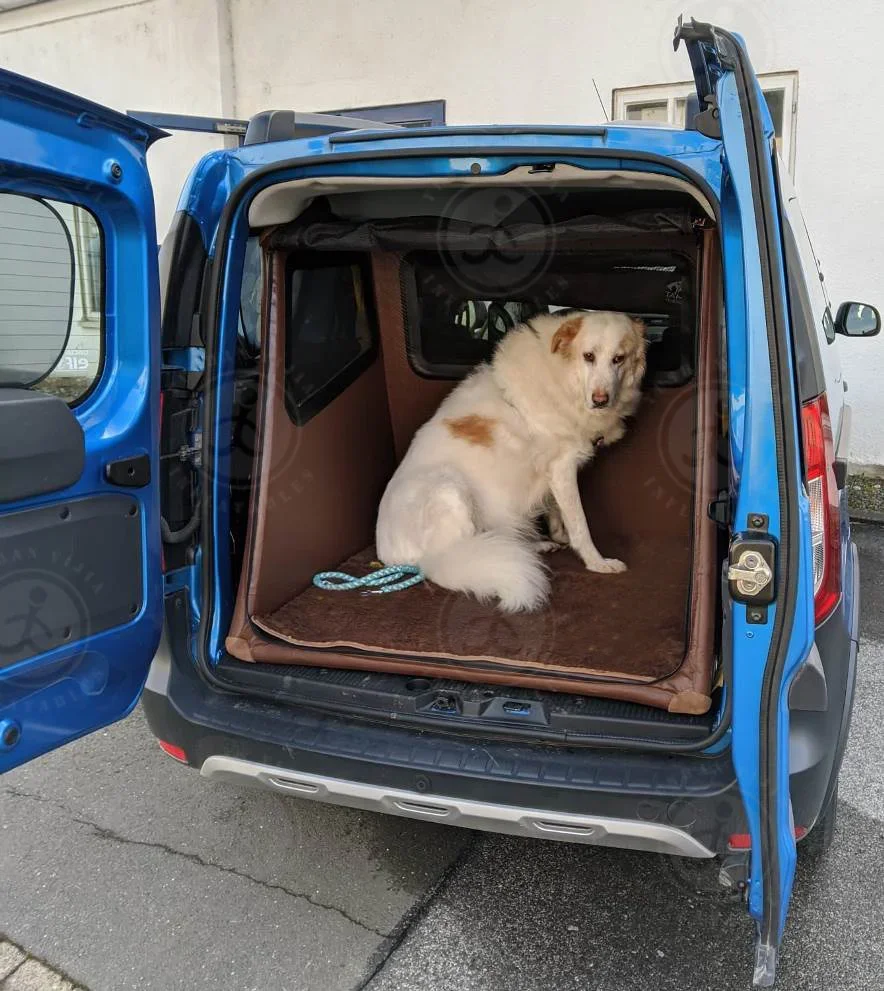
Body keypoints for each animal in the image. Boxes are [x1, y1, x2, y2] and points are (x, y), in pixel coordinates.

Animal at [374, 310, 648, 612]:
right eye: (589, 356)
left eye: (619, 358)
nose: (601, 400)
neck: (561, 377)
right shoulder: (562, 467)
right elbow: (579, 524)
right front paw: (597, 562)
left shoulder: (553, 472)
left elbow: (556, 509)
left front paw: (558, 536)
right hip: (451, 491)